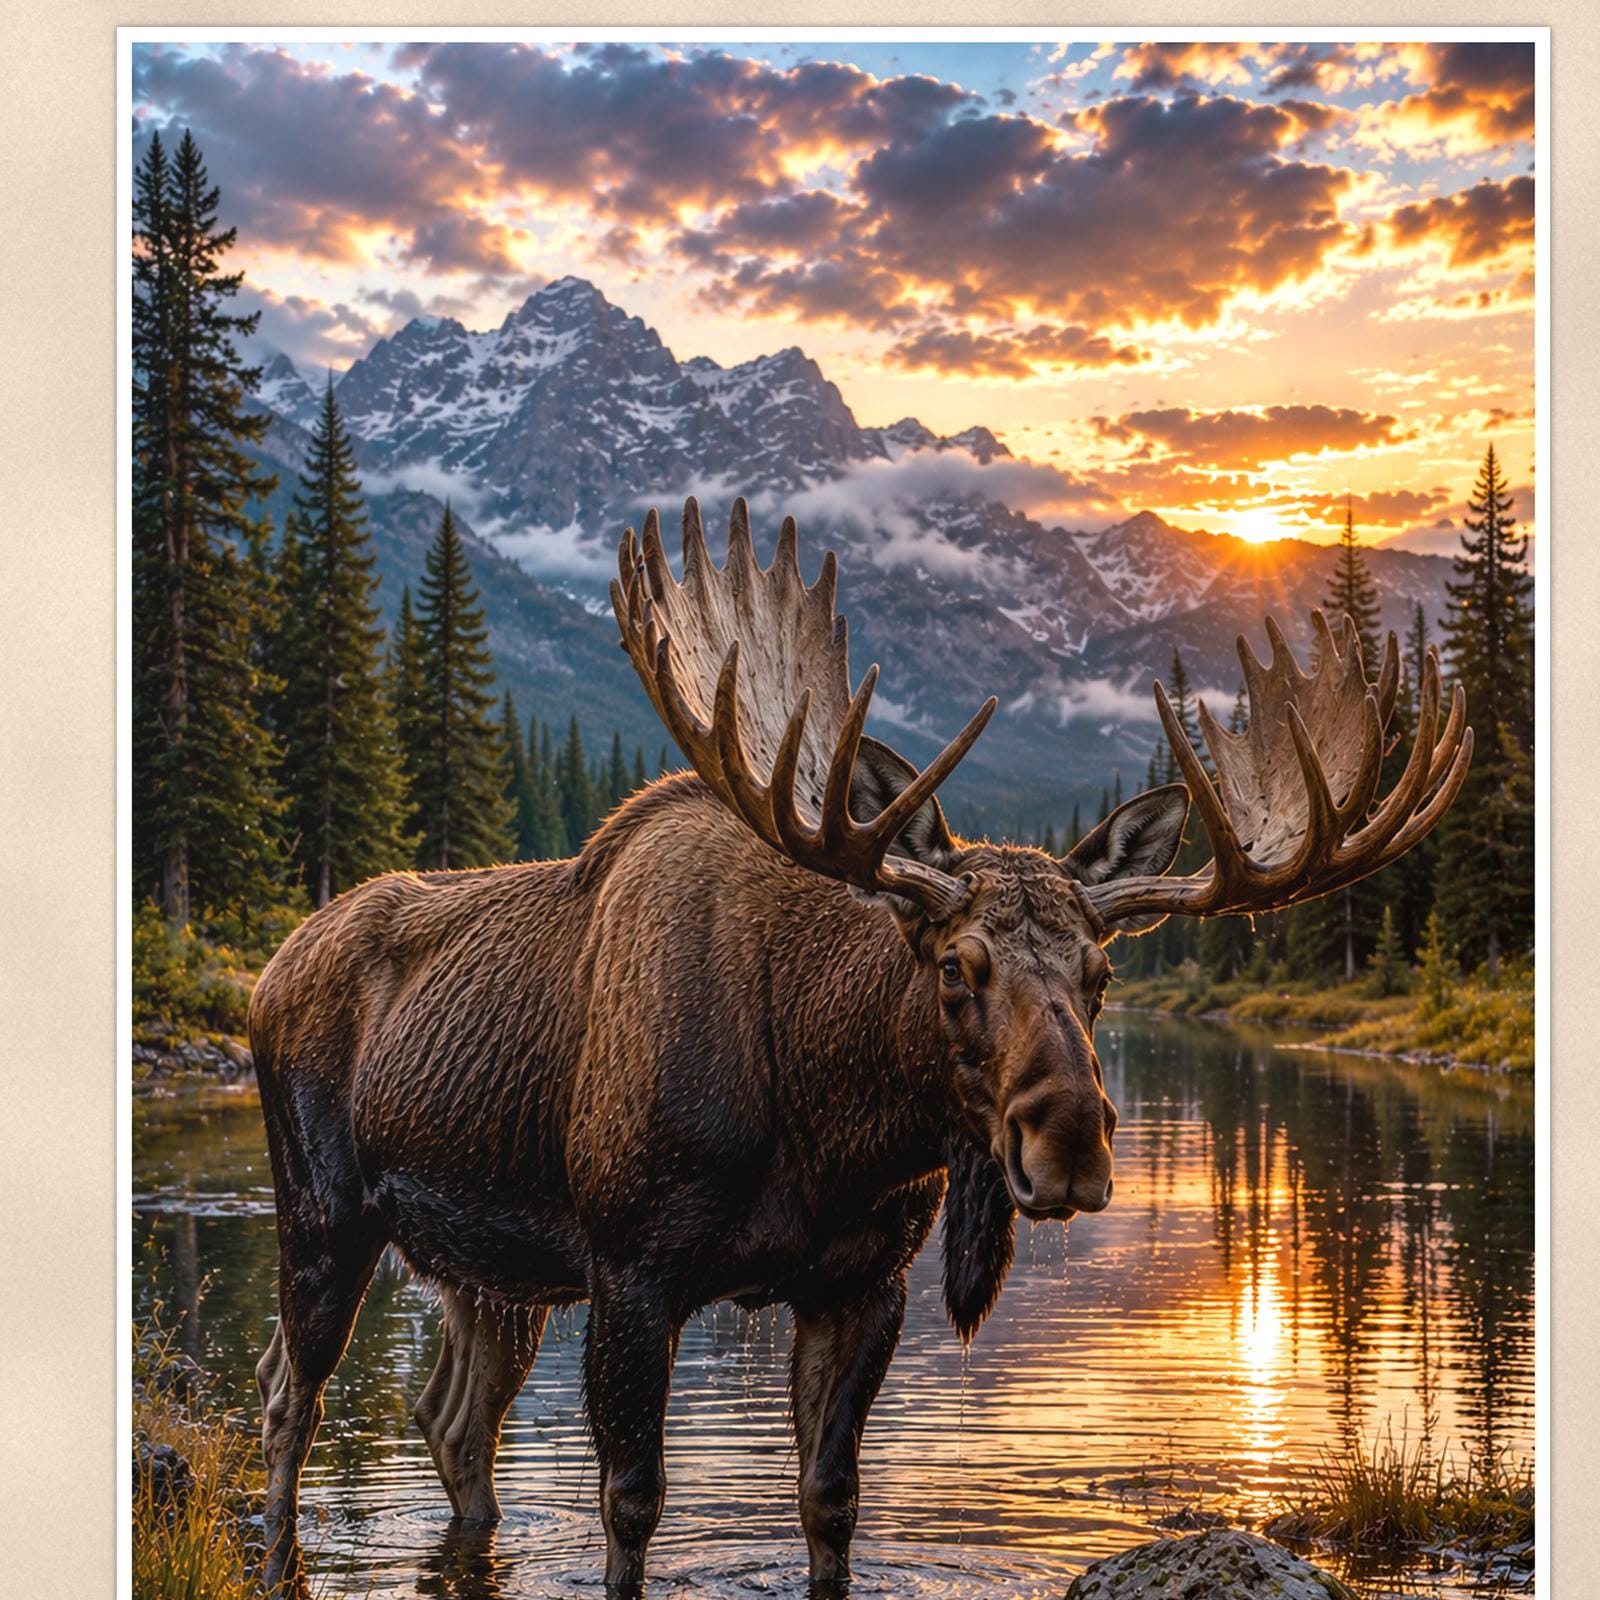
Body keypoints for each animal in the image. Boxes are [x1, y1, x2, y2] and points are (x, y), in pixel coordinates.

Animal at [248, 497, 1470, 1594]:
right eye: (954, 967)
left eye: (1103, 974)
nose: (1072, 1144)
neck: (821, 1121)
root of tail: (269, 968)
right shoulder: (632, 1271)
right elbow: (631, 1510)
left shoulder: (861, 1283)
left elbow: (829, 1503)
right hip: (326, 1213)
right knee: (286, 1396)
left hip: (493, 1271)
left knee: (447, 1421)